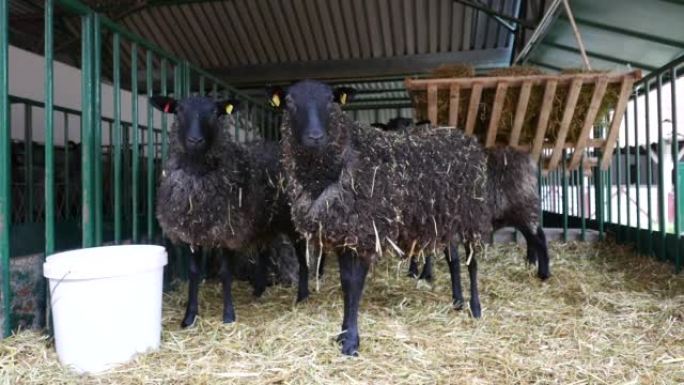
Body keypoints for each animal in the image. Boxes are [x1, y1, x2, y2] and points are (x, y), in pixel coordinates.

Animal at [152, 96, 310, 328]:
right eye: (179, 110)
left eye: (214, 112)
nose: (195, 140)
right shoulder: (191, 233)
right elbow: (193, 273)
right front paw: (189, 317)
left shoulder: (228, 230)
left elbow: (226, 273)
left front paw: (228, 315)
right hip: (263, 222)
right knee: (264, 252)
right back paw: (259, 291)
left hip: (289, 220)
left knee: (300, 253)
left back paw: (303, 295)